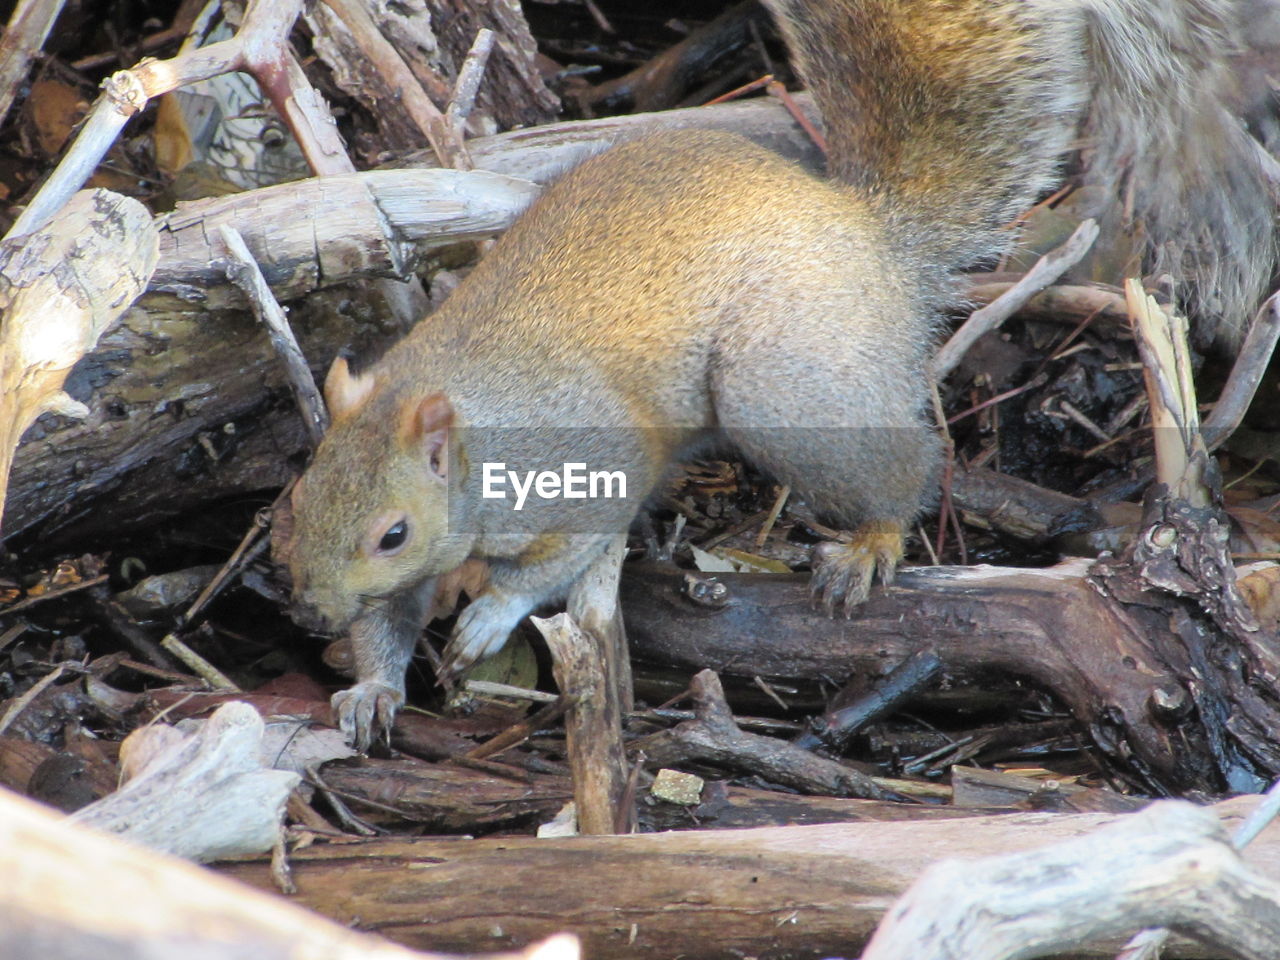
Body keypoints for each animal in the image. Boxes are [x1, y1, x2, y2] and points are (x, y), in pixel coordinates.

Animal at [282, 0, 1280, 752]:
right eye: (296, 498)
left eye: (392, 533)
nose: (311, 612)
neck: (464, 411)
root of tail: (869, 235)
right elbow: (388, 626)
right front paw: (370, 689)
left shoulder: (588, 462)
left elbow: (568, 551)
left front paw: (492, 612)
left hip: (782, 391)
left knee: (902, 466)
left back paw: (871, 543)